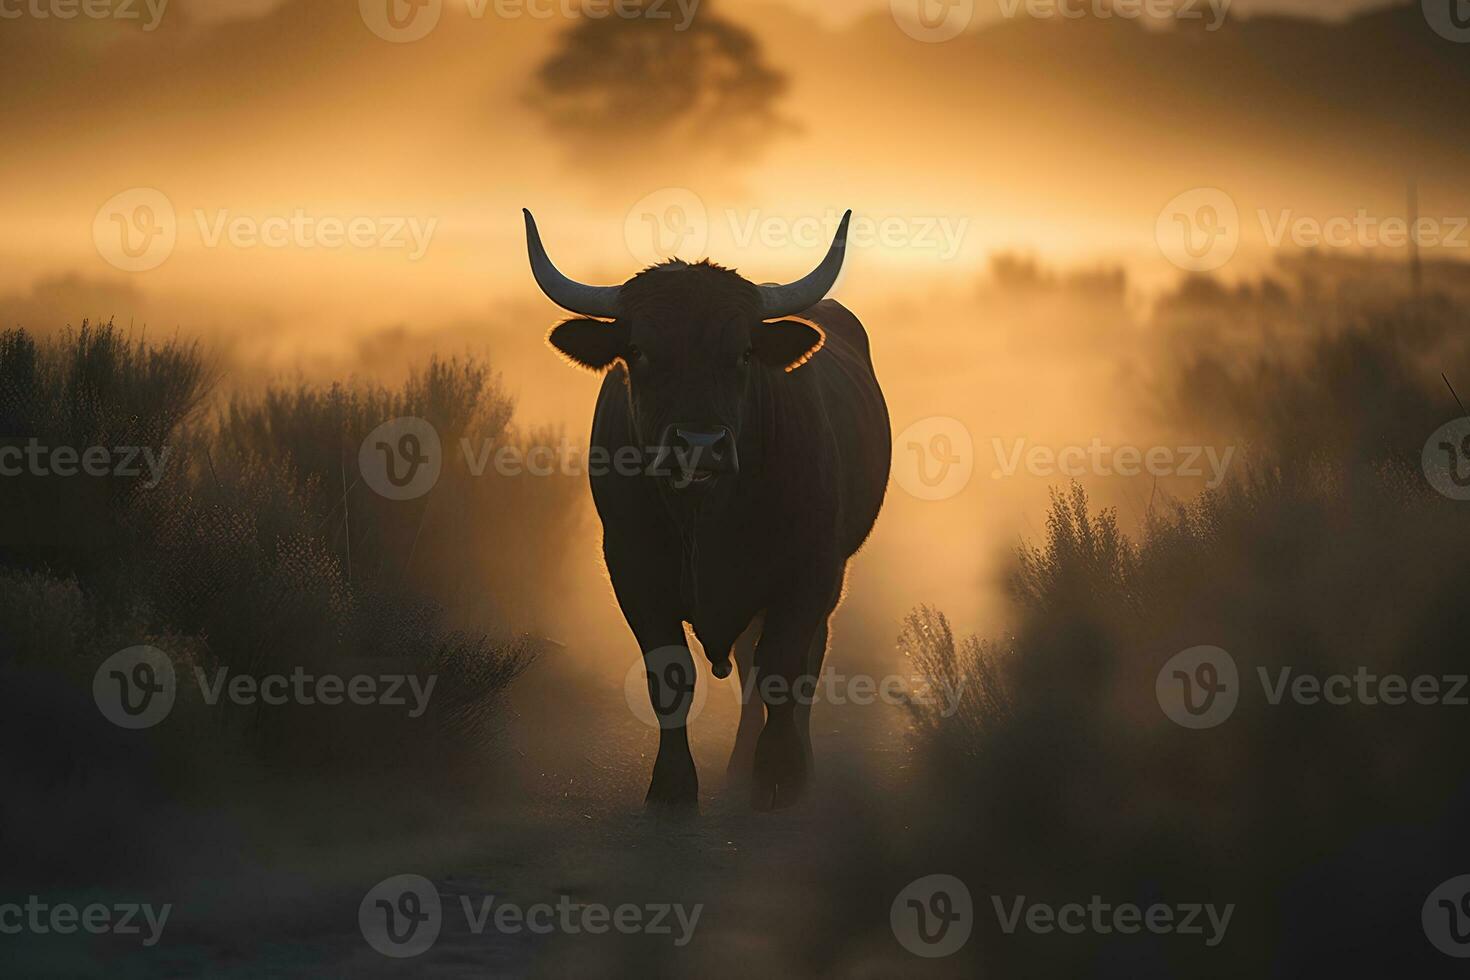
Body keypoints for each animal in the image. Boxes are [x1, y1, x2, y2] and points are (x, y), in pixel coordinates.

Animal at [526, 208, 887, 811]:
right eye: (640, 351)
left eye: (742, 353)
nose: (699, 443)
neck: (703, 515)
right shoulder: (632, 569)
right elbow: (670, 677)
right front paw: (672, 786)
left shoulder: (810, 571)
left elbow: (784, 671)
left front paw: (780, 775)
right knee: (744, 666)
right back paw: (738, 765)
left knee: (801, 663)